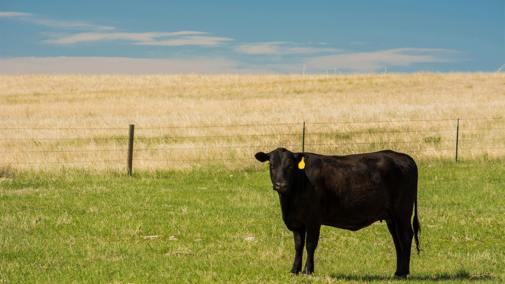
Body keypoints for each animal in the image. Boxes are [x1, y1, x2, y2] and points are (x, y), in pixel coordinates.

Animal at [254, 149, 420, 278]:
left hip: (402, 211)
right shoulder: (297, 221)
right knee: (397, 240)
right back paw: (398, 272)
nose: (281, 185)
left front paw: (308, 271)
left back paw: (403, 273)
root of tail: (402, 156)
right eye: (272, 165)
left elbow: (310, 244)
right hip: (391, 216)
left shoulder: (313, 218)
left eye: (289, 166)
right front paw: (294, 270)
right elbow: (298, 245)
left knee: (405, 237)